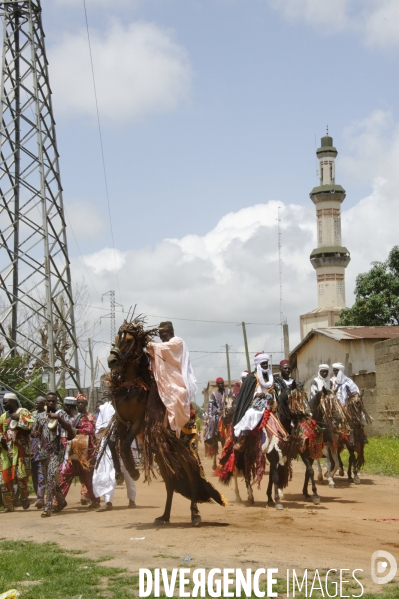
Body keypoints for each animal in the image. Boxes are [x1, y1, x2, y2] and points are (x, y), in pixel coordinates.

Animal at [104, 316, 227, 528]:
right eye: (116, 339)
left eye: (128, 340)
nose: (111, 361)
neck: (132, 386)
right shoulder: (121, 421)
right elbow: (113, 443)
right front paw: (119, 474)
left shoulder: (138, 422)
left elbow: (126, 443)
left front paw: (132, 471)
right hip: (164, 458)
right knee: (171, 484)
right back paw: (164, 516)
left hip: (183, 453)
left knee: (192, 480)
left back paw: (195, 514)